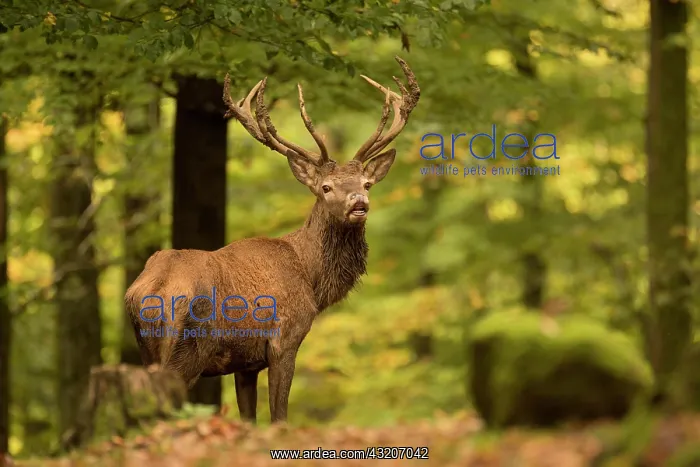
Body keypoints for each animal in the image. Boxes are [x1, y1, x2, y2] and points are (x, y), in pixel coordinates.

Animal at [125, 56, 420, 423]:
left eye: (366, 183)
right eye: (326, 187)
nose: (359, 203)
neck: (311, 278)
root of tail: (155, 289)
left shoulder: (245, 363)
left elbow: (249, 417)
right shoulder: (284, 339)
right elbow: (280, 416)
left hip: (147, 351)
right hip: (187, 351)